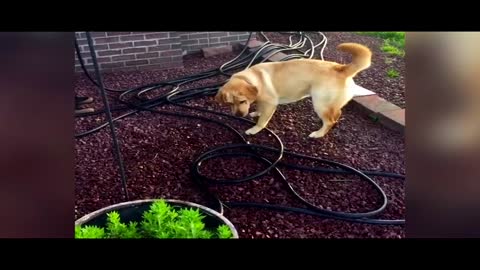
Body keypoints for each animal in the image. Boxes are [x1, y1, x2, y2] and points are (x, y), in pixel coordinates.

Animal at [214, 43, 372, 139]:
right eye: (229, 104)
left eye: (242, 101)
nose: (238, 115)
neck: (253, 79)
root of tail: (341, 68)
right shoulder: (261, 100)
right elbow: (259, 108)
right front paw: (256, 112)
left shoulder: (271, 103)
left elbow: (262, 121)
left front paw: (254, 129)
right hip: (327, 104)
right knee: (336, 114)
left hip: (320, 103)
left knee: (330, 121)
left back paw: (318, 133)